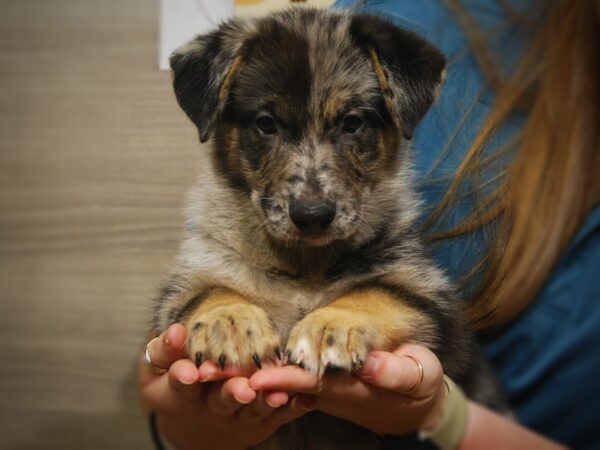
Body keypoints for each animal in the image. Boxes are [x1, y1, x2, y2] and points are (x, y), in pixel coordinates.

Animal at [154, 7, 502, 450]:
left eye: (352, 123)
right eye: (266, 123)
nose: (313, 215)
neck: (306, 268)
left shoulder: (433, 302)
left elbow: (376, 292)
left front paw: (331, 327)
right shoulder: (180, 293)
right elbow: (211, 291)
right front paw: (229, 323)